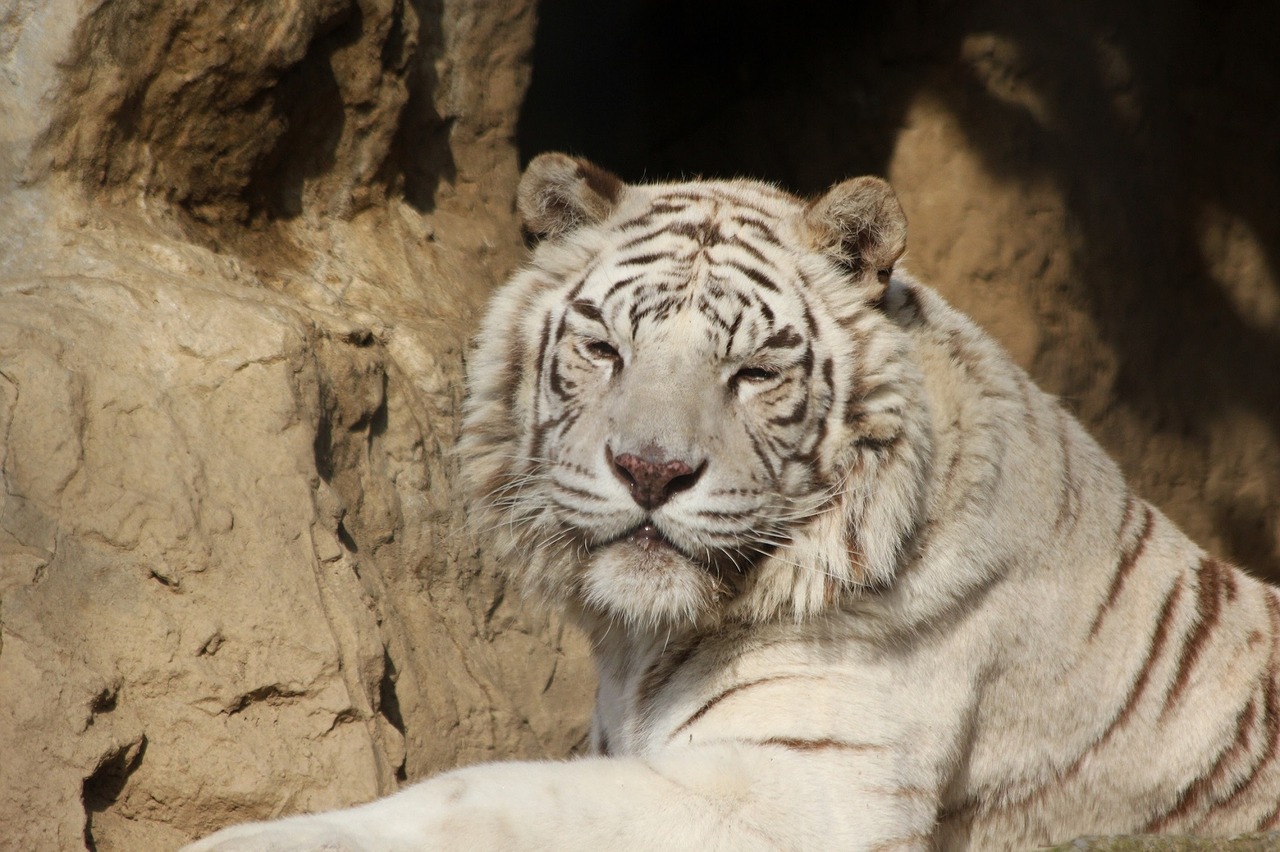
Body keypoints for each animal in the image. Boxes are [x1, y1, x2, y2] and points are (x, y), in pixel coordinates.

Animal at [185, 152, 1280, 849]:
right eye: (603, 349)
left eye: (752, 373)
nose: (649, 471)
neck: (642, 644)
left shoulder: (793, 790)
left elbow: (485, 797)